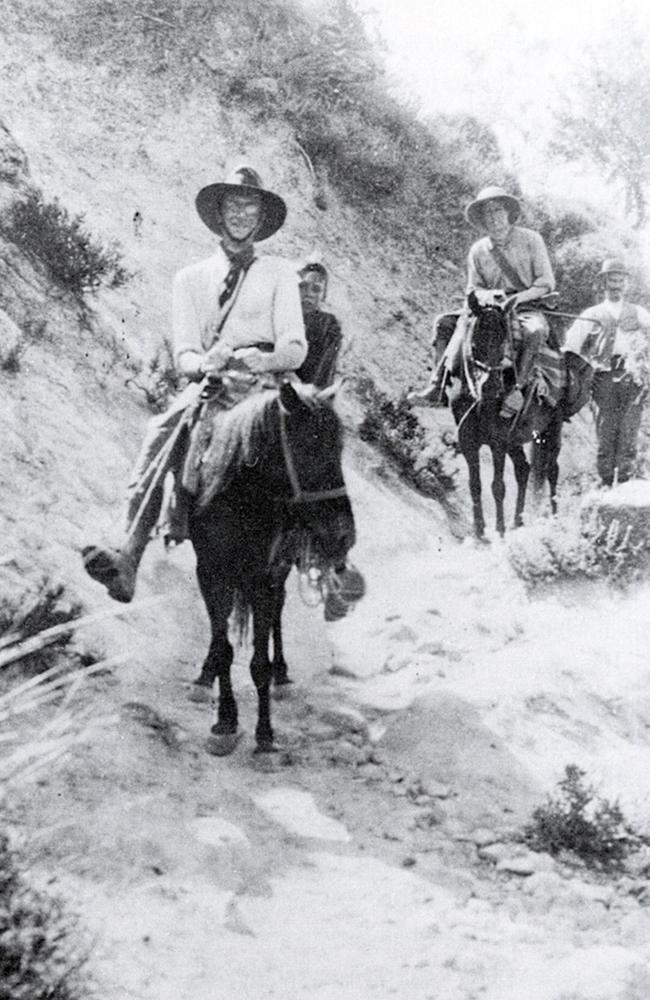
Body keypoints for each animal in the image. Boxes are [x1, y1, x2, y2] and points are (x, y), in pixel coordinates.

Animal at [185, 378, 356, 752]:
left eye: (339, 451)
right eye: (310, 447)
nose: (343, 535)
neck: (242, 505)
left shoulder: (262, 579)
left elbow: (259, 662)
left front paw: (264, 733)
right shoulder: (209, 571)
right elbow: (223, 646)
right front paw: (225, 719)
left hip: (279, 572)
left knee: (278, 608)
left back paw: (282, 673)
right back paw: (204, 675)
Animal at [448, 290, 564, 540]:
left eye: (504, 342)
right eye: (475, 339)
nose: (491, 387)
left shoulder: (498, 441)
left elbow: (498, 486)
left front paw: (499, 530)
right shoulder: (468, 439)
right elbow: (475, 483)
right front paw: (479, 531)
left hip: (552, 430)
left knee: (552, 470)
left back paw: (554, 518)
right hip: (515, 439)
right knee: (523, 469)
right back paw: (517, 521)